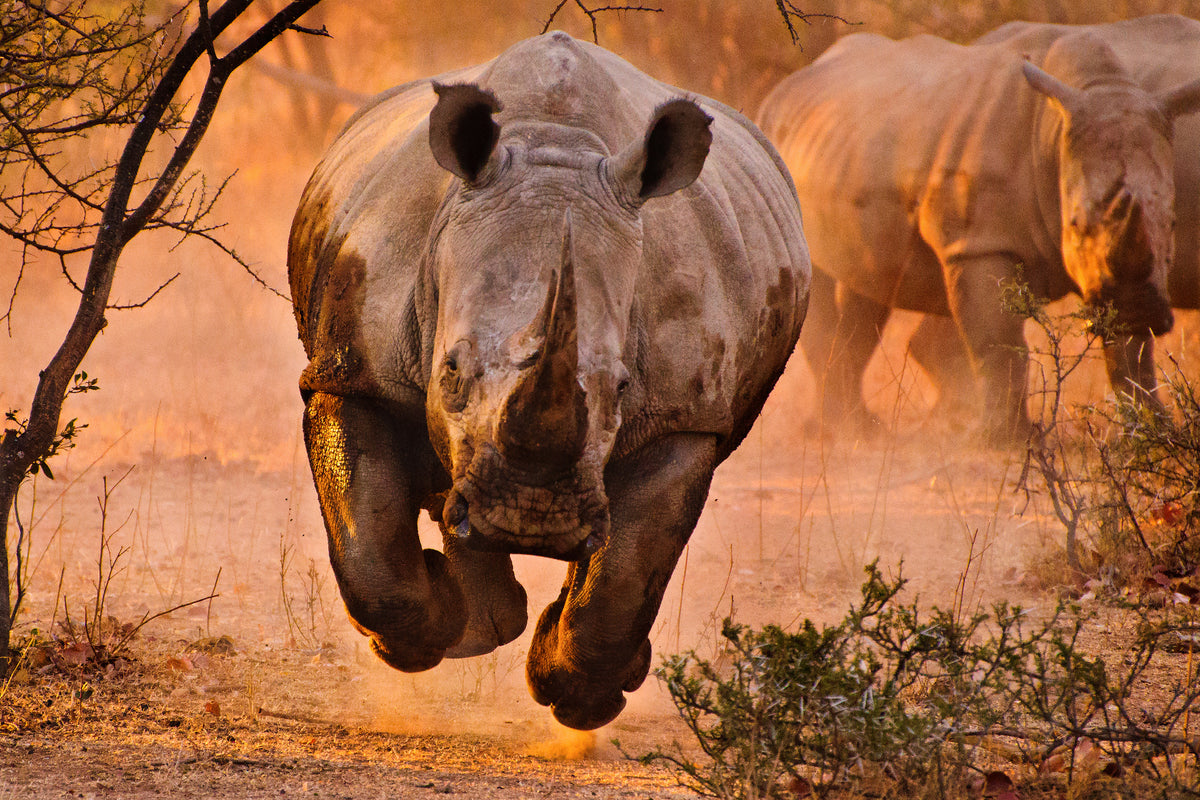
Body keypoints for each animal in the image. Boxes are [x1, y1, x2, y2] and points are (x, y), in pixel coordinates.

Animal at [288, 32, 810, 730]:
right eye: (449, 372)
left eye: (622, 388)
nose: (530, 518)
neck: (555, 147)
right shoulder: (351, 369)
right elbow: (370, 550)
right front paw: (427, 631)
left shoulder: (685, 416)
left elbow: (625, 575)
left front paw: (579, 694)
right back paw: (481, 623)